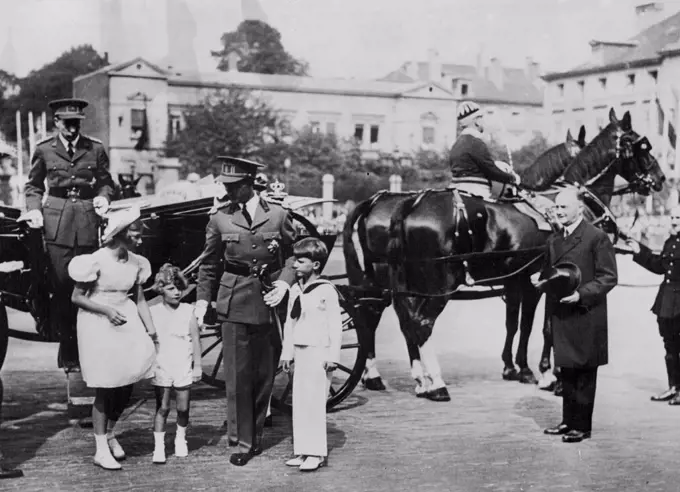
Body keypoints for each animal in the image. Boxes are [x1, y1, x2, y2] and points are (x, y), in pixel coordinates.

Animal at [386, 108, 668, 400]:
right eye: (642, 145)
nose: (660, 179)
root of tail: (411, 204)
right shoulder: (545, 283)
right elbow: (544, 327)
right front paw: (549, 375)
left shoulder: (521, 284)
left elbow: (518, 324)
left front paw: (518, 368)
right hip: (441, 284)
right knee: (422, 323)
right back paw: (436, 383)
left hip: (411, 285)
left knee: (407, 321)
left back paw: (421, 379)